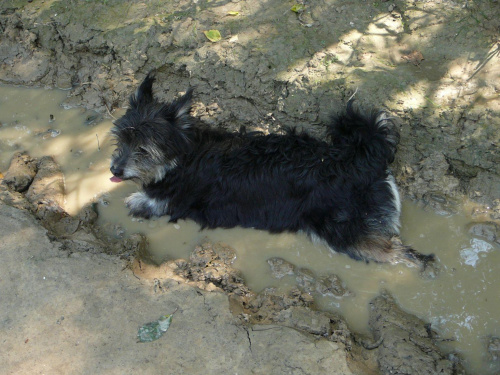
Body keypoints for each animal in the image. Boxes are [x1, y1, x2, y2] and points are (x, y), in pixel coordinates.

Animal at [110, 71, 434, 270]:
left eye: (143, 149)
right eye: (121, 139)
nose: (114, 168)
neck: (185, 154)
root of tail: (362, 158)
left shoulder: (176, 199)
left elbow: (147, 201)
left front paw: (136, 199)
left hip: (345, 230)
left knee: (405, 254)